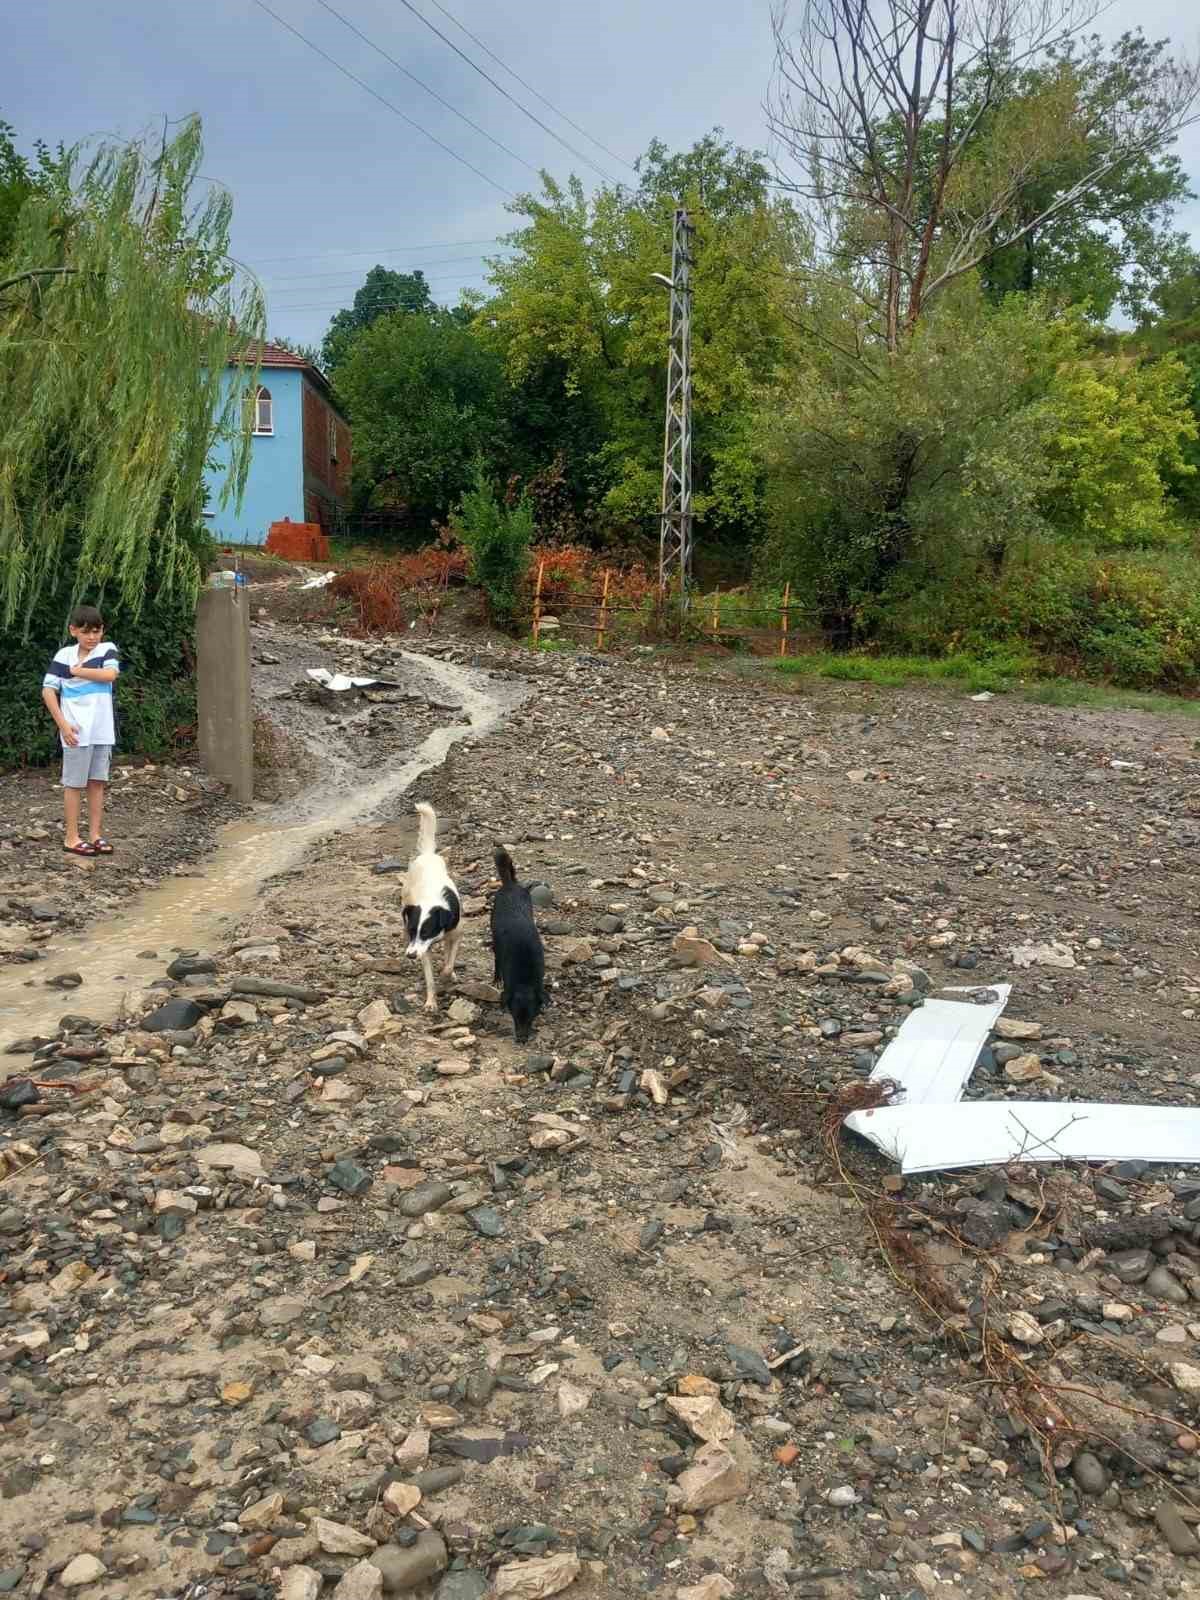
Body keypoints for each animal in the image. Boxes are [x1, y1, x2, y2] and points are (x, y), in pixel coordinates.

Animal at [401, 800, 464, 1011]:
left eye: (427, 931)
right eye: (412, 930)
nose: (411, 956)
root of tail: (428, 854)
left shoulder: (456, 935)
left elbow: (449, 964)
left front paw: (447, 974)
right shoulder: (423, 949)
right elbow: (430, 979)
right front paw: (430, 1002)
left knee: (447, 953)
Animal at [489, 844, 547, 1043]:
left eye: (531, 1017)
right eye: (514, 1016)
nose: (522, 1039)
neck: (524, 980)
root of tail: (510, 885)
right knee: (496, 958)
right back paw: (496, 979)